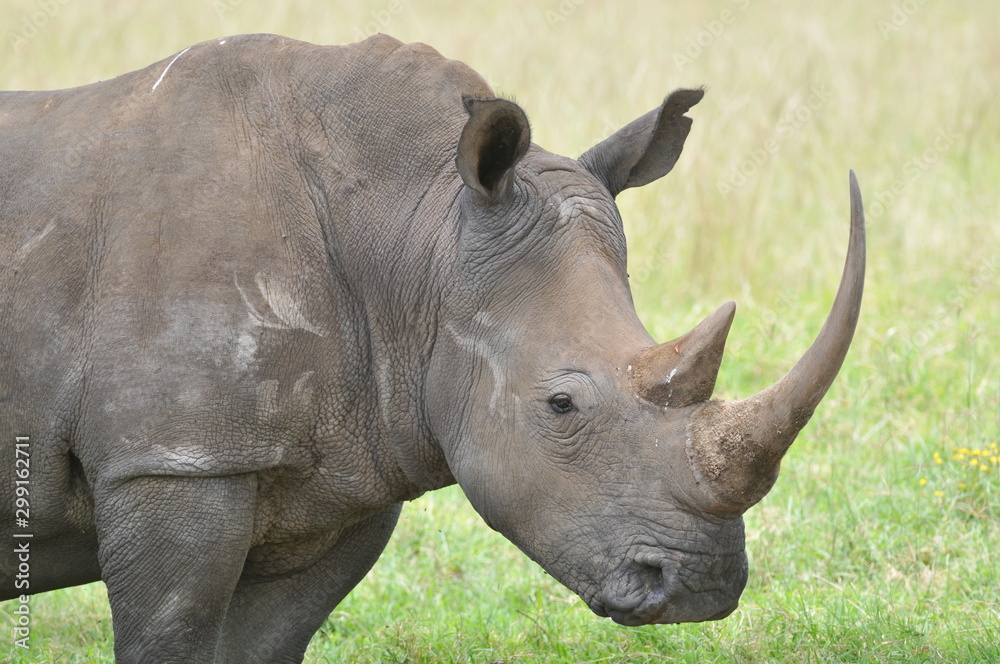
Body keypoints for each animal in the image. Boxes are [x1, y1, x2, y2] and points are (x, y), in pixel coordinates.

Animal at [0, 33, 865, 662]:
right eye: (560, 404)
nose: (700, 588)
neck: (417, 232)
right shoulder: (172, 457)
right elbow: (170, 635)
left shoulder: (346, 469)